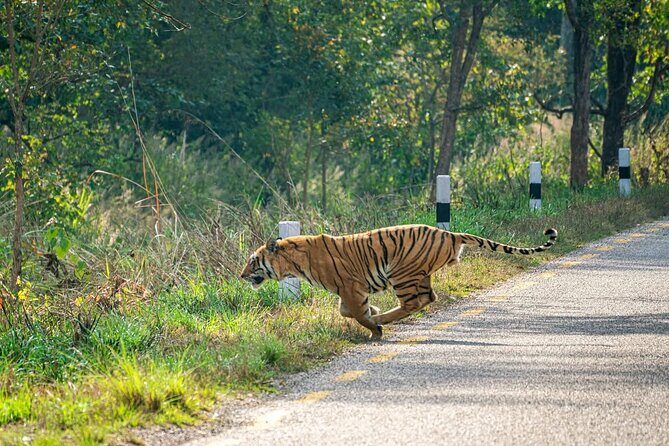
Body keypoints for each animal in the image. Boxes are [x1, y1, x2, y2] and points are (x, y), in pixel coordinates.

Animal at [240, 225, 557, 340]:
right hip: (417, 274)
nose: (241, 276)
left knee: (414, 302)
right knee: (428, 298)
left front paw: (374, 326)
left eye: (253, 261)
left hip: (401, 273)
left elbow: (355, 313)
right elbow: (347, 311)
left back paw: (384, 322)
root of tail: (451, 233)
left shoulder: (351, 287)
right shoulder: (350, 290)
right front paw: (374, 314)